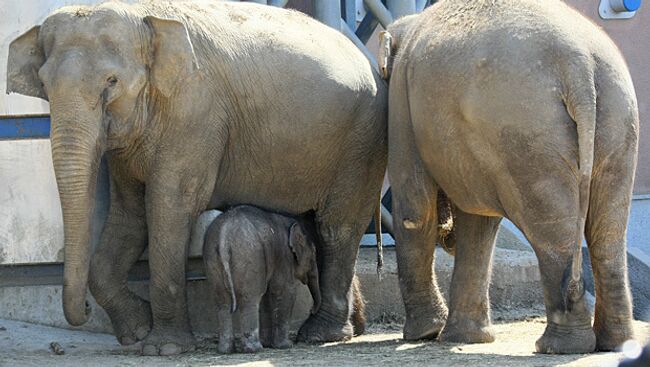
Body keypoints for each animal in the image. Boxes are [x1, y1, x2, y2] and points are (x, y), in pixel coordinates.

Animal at [6, 0, 384, 356]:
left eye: (112, 82)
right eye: (44, 84)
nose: (83, 309)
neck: (143, 15)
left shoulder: (196, 116)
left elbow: (168, 207)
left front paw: (164, 348)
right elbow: (130, 215)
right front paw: (138, 331)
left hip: (361, 141)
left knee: (338, 227)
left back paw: (322, 334)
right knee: (313, 224)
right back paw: (350, 328)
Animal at [380, 0, 636, 356]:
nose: (448, 236)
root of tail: (580, 66)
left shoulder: (401, 100)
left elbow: (414, 209)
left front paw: (424, 334)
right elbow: (479, 223)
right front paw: (463, 338)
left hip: (528, 130)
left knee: (551, 229)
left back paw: (557, 347)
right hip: (617, 119)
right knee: (608, 232)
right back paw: (616, 344)